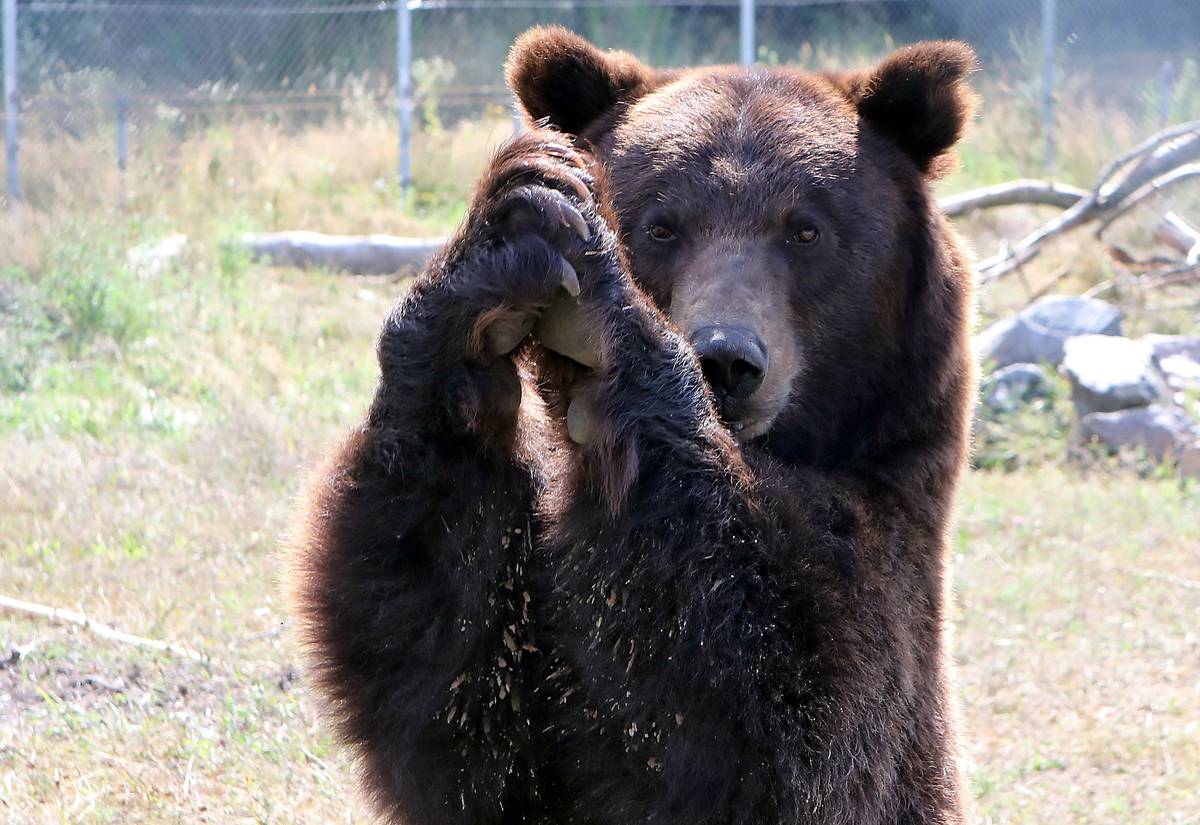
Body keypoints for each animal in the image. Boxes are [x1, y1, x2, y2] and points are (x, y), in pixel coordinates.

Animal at [287, 26, 977, 825]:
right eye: (663, 223)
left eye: (806, 229)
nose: (725, 359)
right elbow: (447, 677)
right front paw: (508, 229)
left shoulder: (886, 536)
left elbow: (792, 712)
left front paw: (602, 320)